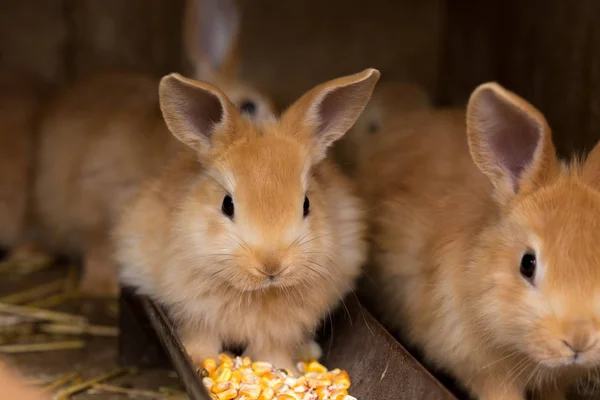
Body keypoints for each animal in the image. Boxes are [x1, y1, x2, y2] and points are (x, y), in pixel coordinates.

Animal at [113, 67, 380, 370]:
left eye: (306, 204)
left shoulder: (279, 332)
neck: (260, 292)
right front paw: (199, 361)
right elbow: (201, 339)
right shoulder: (196, 315)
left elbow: (272, 351)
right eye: (227, 204)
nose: (271, 266)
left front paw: (284, 371)